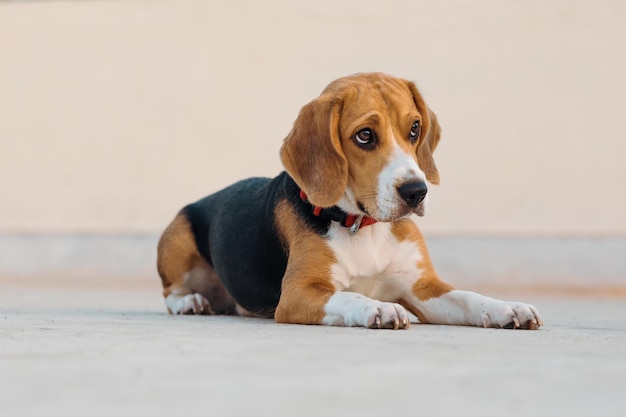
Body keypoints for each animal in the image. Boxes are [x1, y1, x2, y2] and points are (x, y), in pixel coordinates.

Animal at [156, 73, 540, 330]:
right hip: (176, 236)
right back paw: (191, 301)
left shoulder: (423, 288)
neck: (364, 225)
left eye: (415, 129)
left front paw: (507, 308)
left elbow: (468, 296)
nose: (416, 191)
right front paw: (379, 309)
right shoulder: (298, 293)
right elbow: (349, 295)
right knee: (171, 292)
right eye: (365, 136)